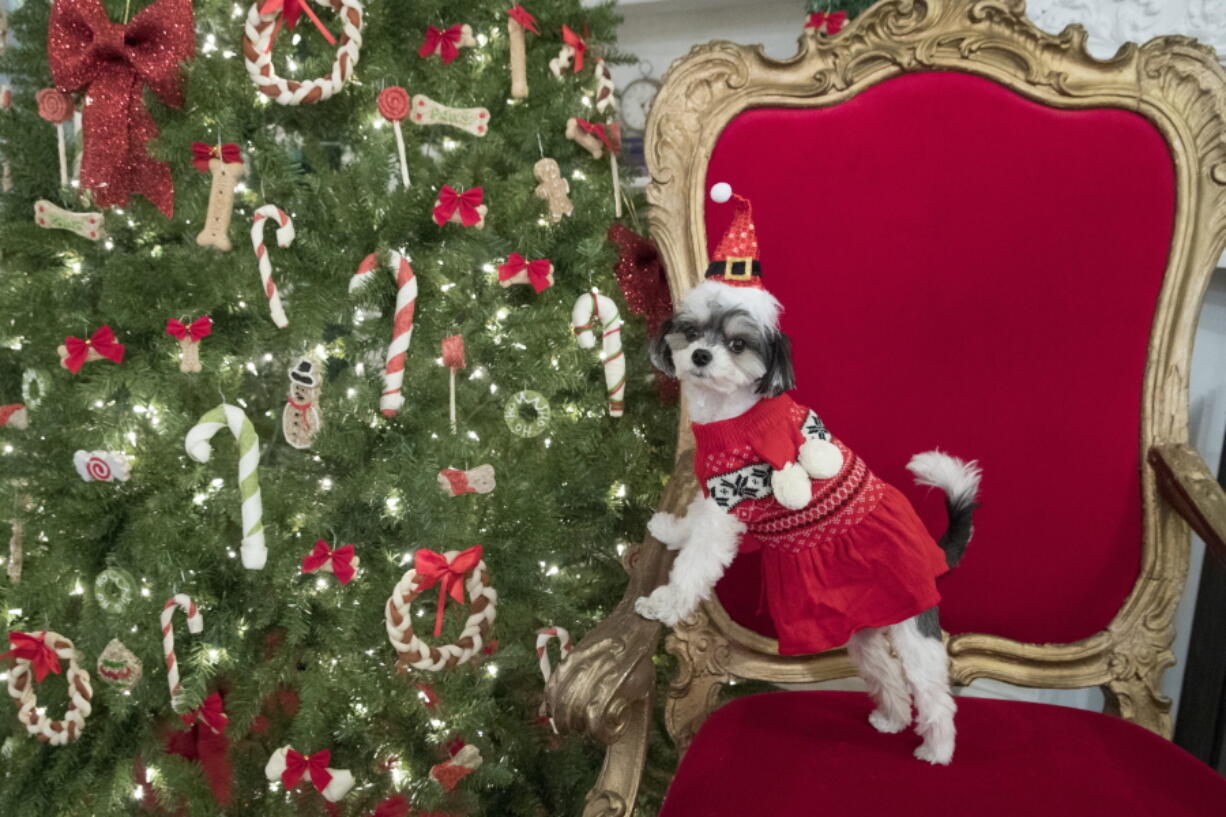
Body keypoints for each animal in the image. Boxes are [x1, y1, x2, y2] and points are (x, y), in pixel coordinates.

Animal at [637, 186, 980, 765]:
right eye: (690, 331)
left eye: (738, 344)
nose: (700, 355)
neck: (728, 417)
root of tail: (933, 550)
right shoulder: (715, 495)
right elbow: (691, 523)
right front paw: (668, 530)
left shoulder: (728, 514)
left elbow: (694, 566)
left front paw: (663, 603)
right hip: (863, 627)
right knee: (884, 672)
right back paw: (889, 719)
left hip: (913, 627)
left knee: (934, 692)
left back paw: (936, 749)